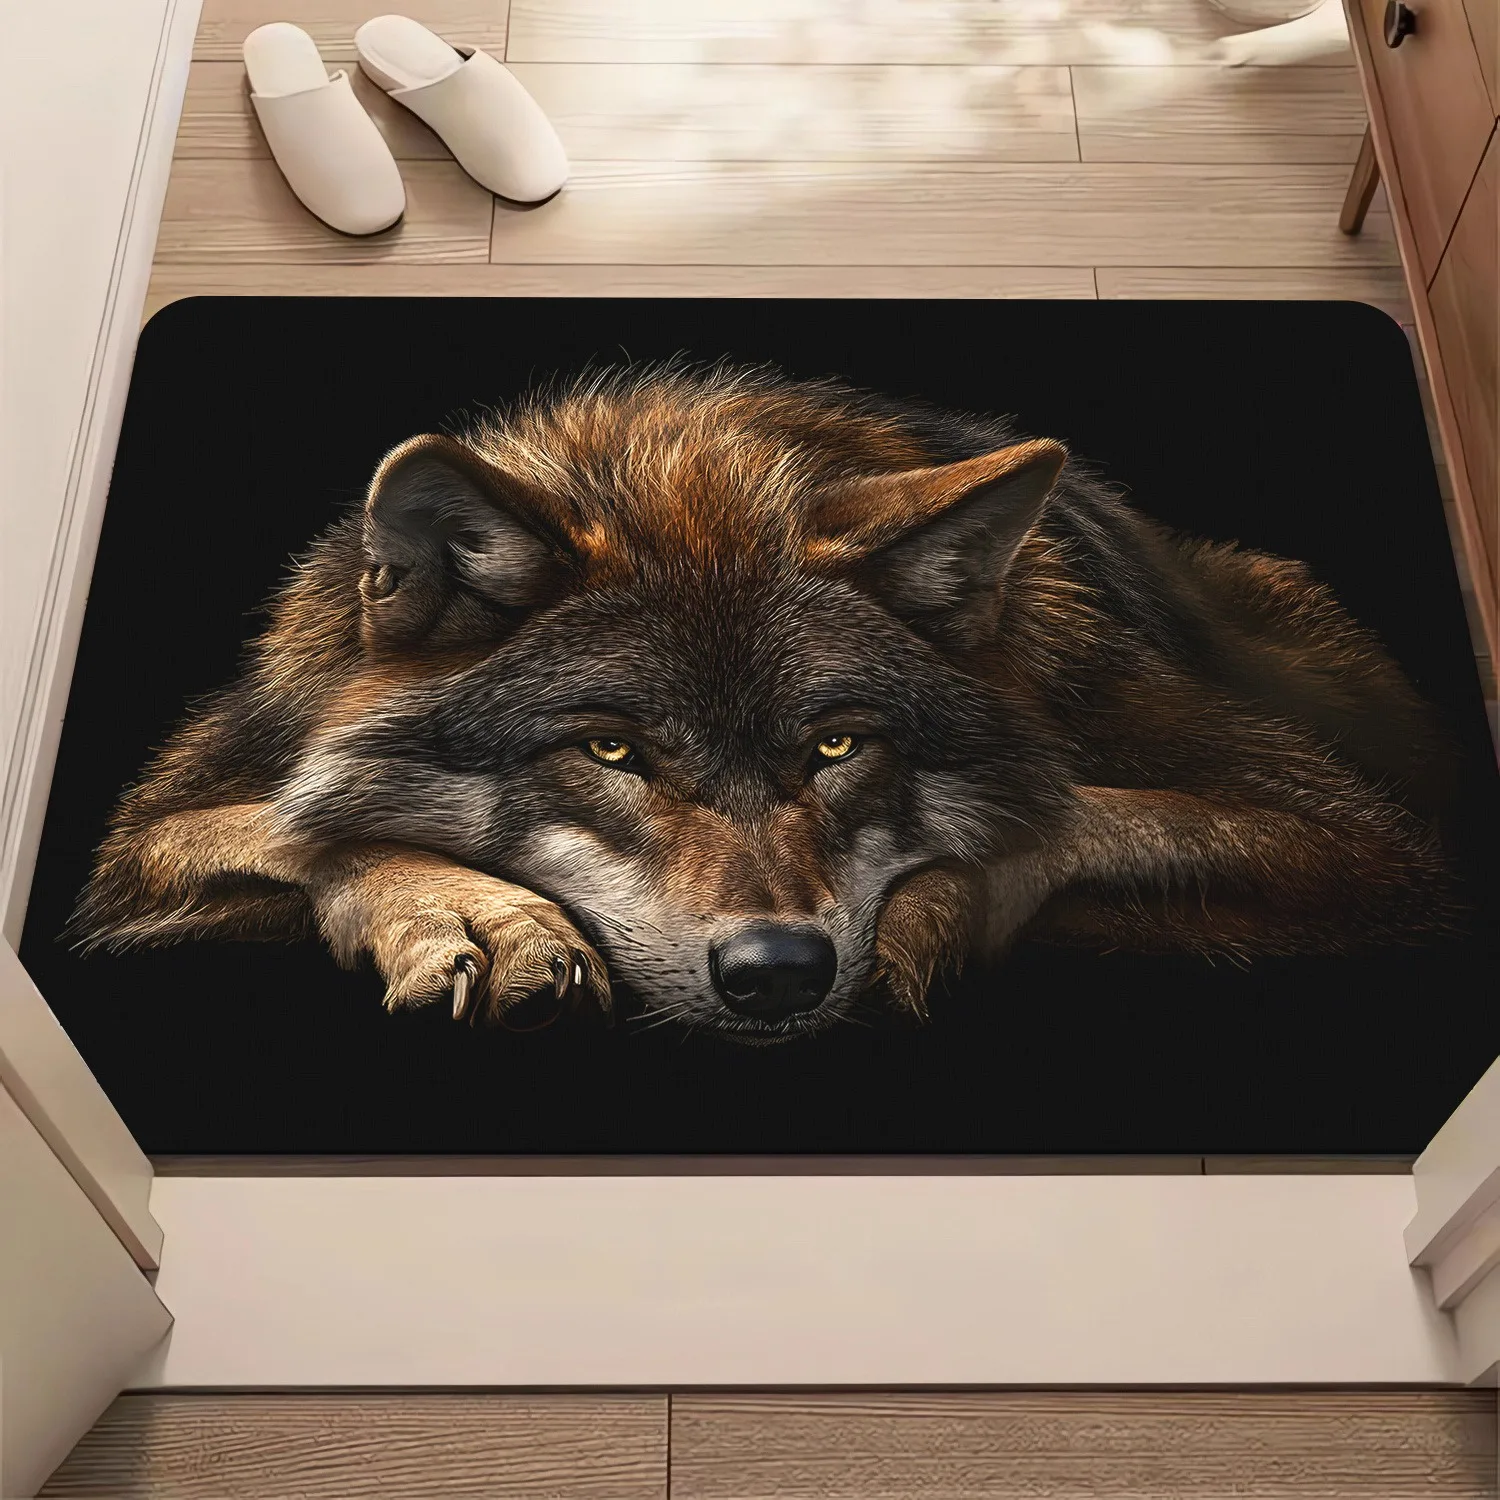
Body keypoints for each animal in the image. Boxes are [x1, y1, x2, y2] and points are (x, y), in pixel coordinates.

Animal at [72, 364, 1453, 1040]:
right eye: (610, 749)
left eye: (837, 744)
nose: (780, 972)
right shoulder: (152, 827)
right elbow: (292, 827)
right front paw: (475, 918)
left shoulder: (1354, 839)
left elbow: (1068, 814)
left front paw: (925, 919)